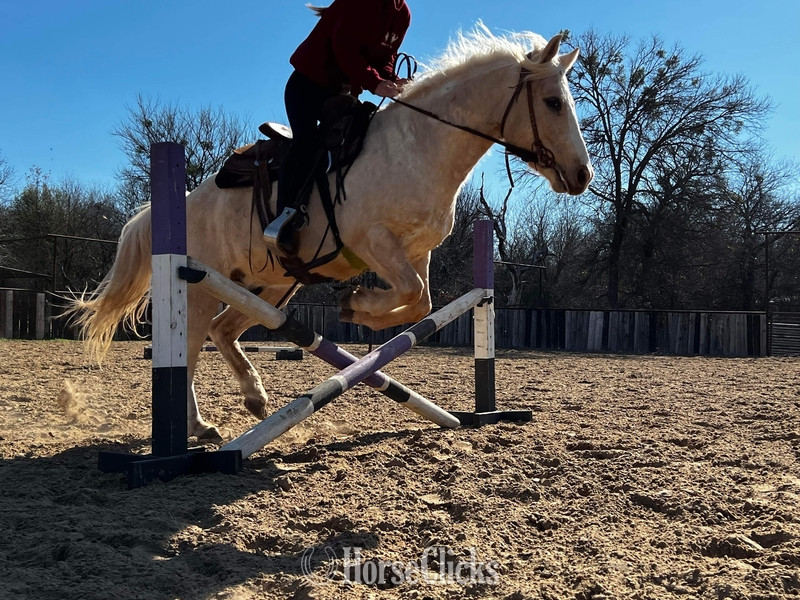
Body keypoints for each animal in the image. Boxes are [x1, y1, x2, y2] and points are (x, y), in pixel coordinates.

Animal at [68, 24, 593, 441]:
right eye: (552, 103)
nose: (582, 175)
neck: (421, 147)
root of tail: (182, 200)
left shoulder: (416, 252)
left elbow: (420, 302)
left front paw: (359, 308)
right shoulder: (373, 242)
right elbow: (410, 293)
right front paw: (357, 302)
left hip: (273, 285)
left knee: (223, 331)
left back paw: (255, 399)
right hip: (198, 283)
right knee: (192, 346)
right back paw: (197, 426)